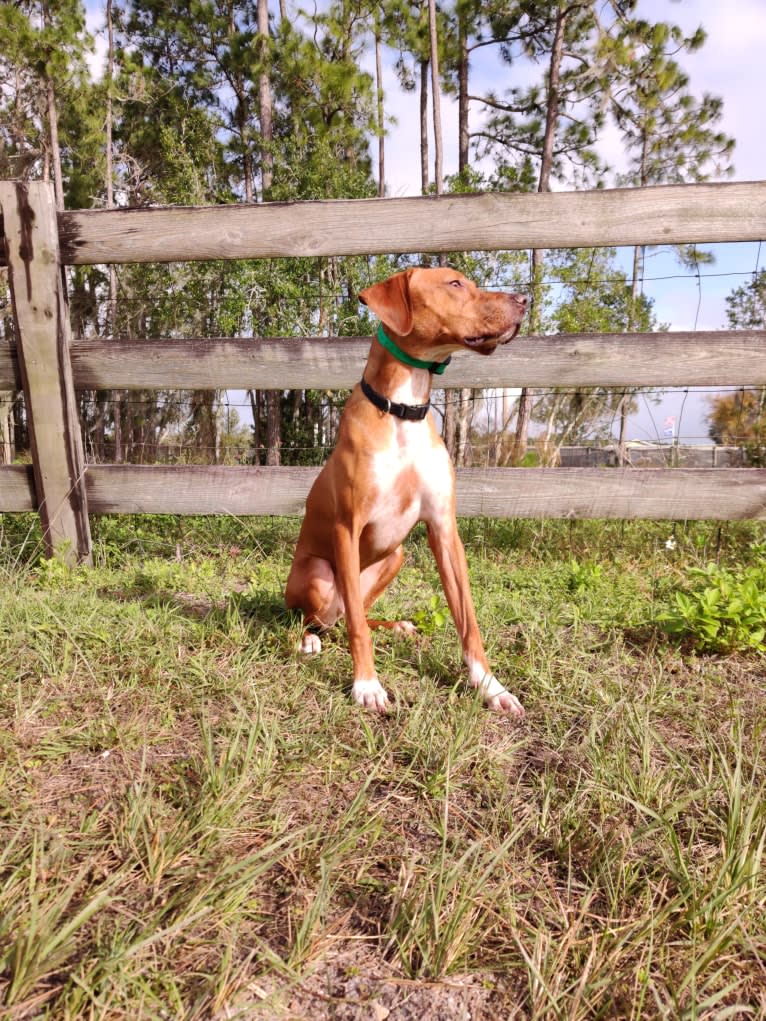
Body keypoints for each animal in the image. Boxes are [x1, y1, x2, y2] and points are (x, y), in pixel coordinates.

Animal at [285, 267, 531, 714]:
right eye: (454, 284)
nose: (524, 300)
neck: (403, 412)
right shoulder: (347, 527)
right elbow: (358, 631)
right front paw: (366, 685)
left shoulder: (444, 529)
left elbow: (468, 621)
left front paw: (491, 687)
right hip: (317, 574)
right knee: (318, 620)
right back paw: (309, 641)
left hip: (394, 557)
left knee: (353, 615)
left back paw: (396, 625)